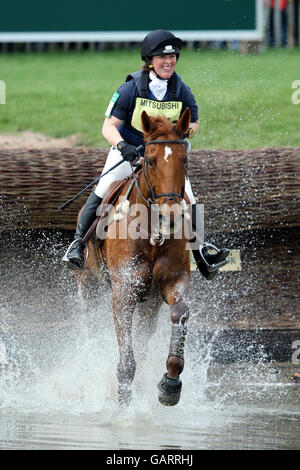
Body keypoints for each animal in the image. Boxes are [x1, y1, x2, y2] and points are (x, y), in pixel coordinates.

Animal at [82, 108, 191, 406]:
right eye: (150, 161)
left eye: (185, 160)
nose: (171, 217)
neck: (153, 232)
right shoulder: (123, 290)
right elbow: (127, 360)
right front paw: (124, 404)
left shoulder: (173, 280)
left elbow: (180, 312)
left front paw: (170, 383)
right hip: (87, 282)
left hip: (149, 304)